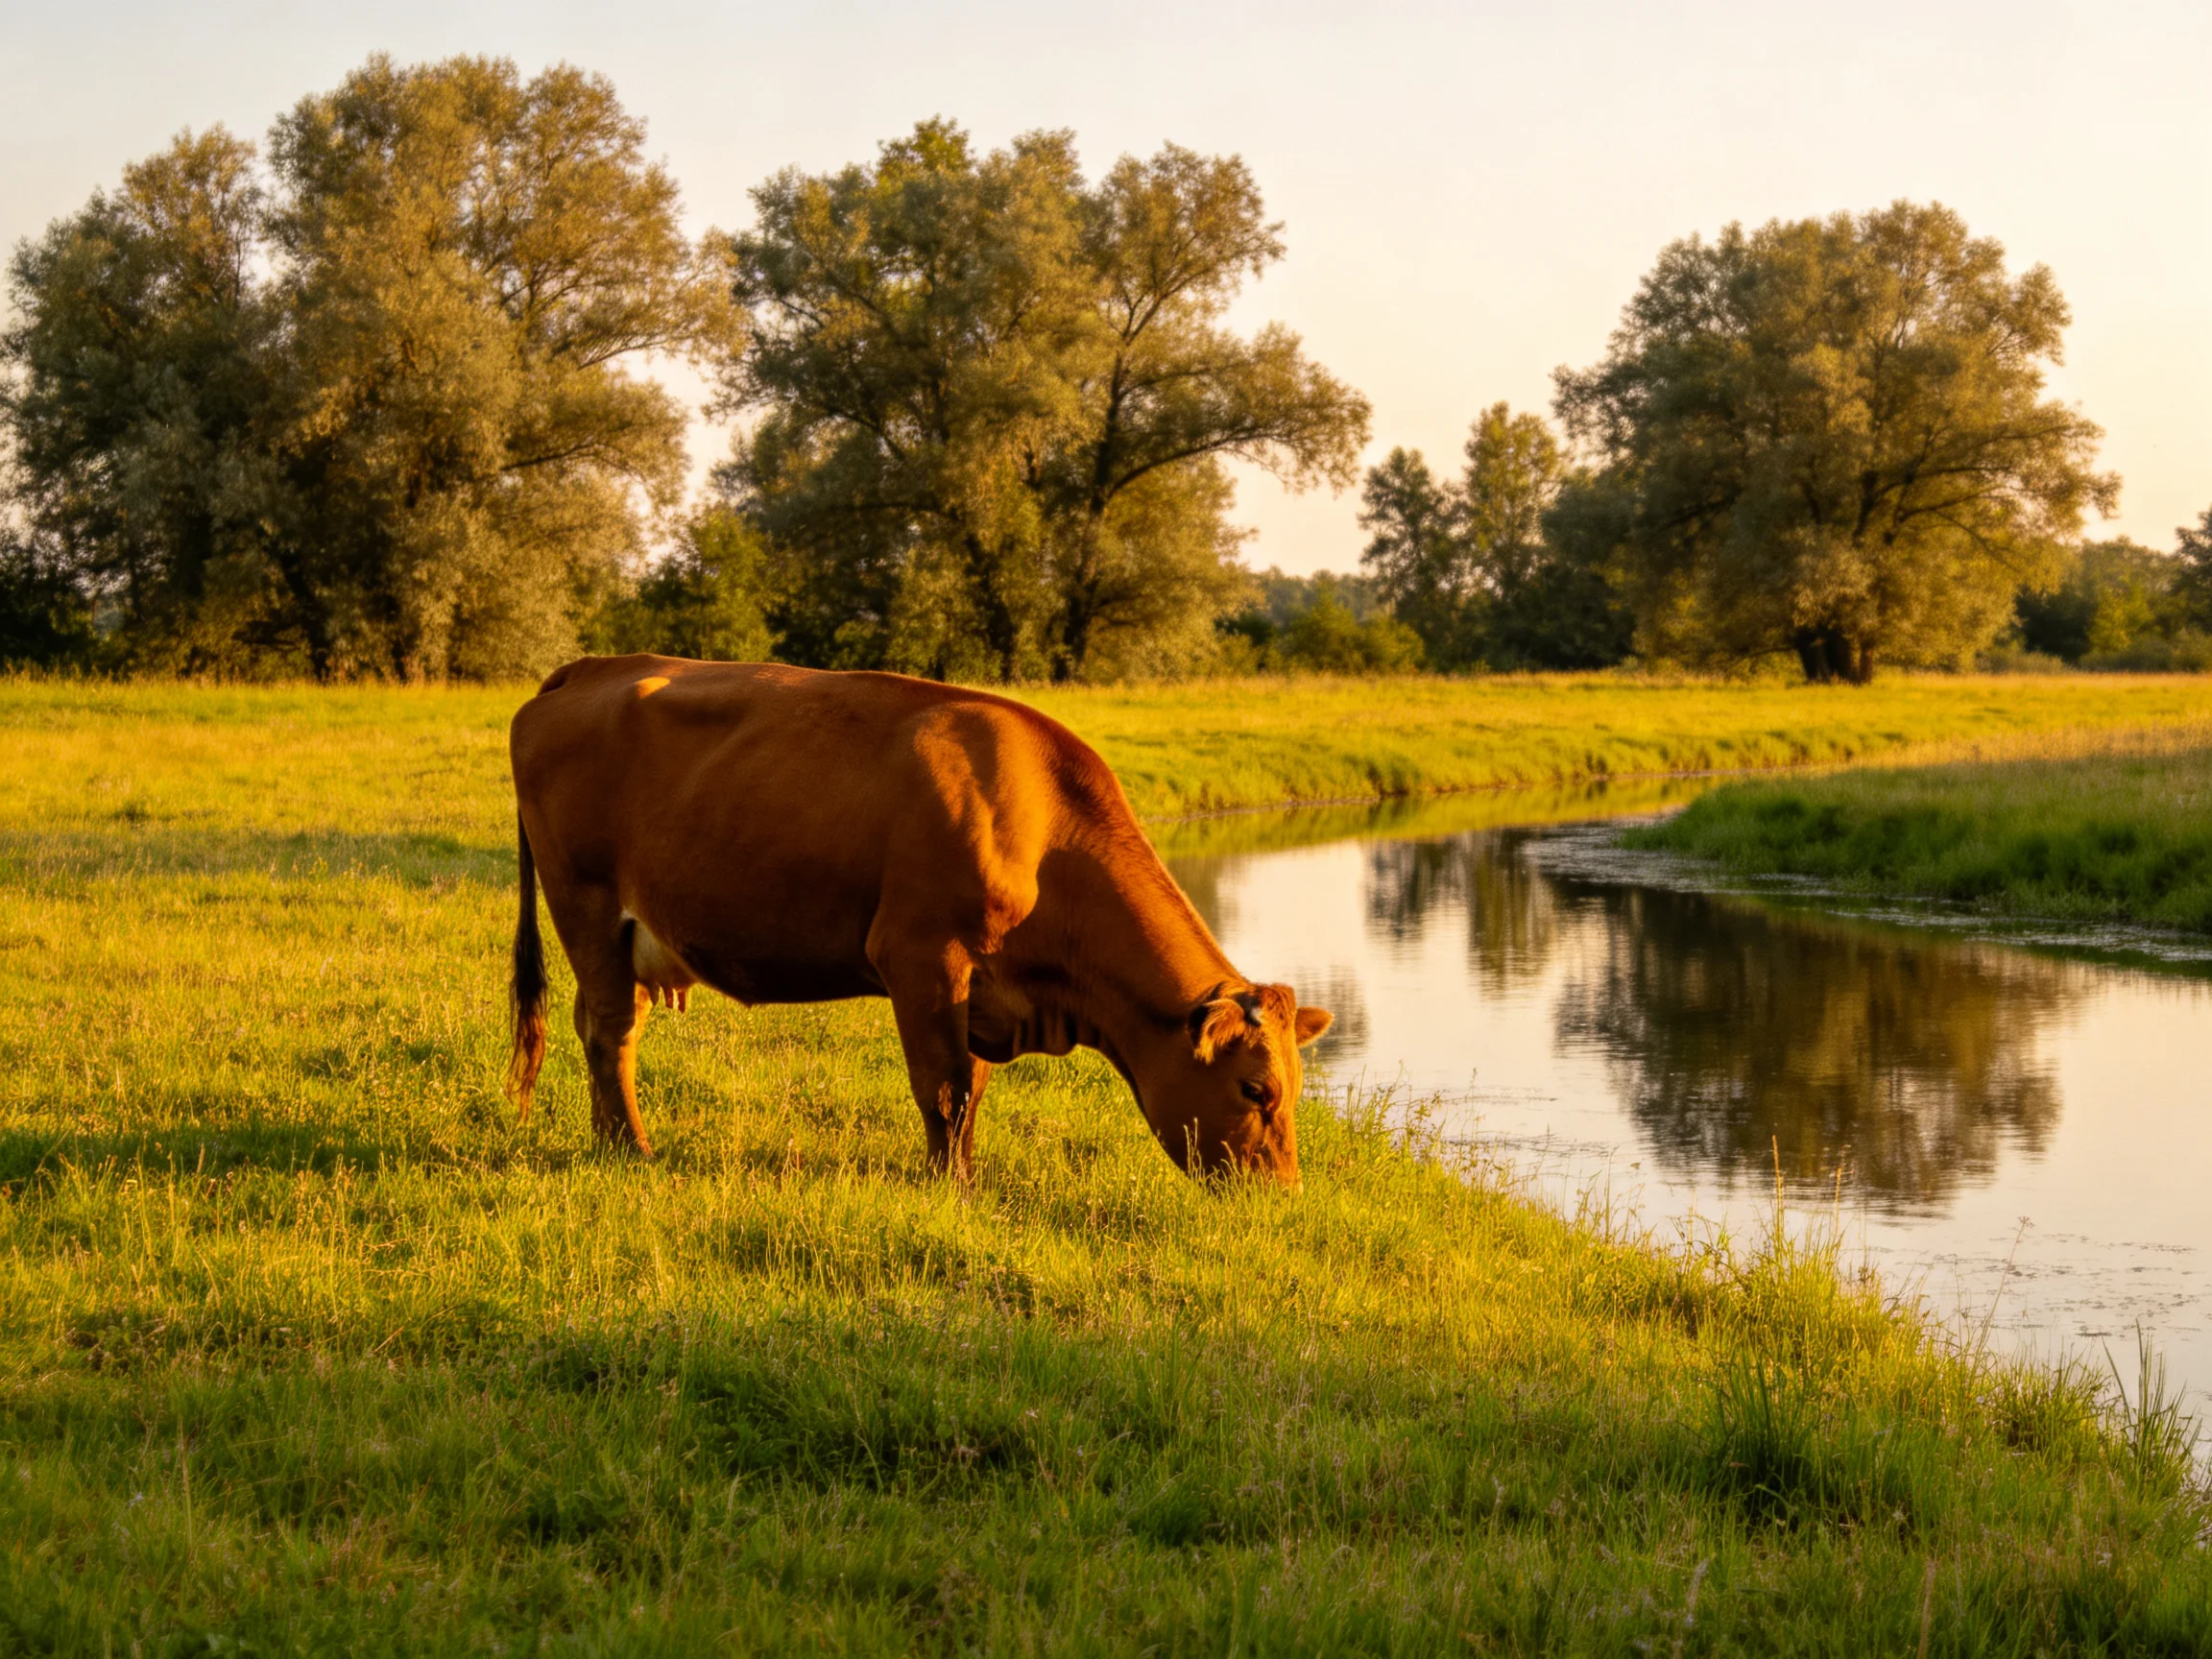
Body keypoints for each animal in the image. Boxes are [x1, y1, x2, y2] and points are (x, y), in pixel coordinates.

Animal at [506, 656, 1331, 1183]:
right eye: (1256, 1090)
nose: (1280, 1193)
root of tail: (594, 665)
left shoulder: (976, 988)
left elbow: (972, 1089)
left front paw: (961, 1174)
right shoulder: (923, 957)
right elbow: (944, 1086)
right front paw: (949, 1187)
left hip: (622, 932)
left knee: (603, 1021)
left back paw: (610, 1140)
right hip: (583, 900)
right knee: (610, 1031)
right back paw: (631, 1150)